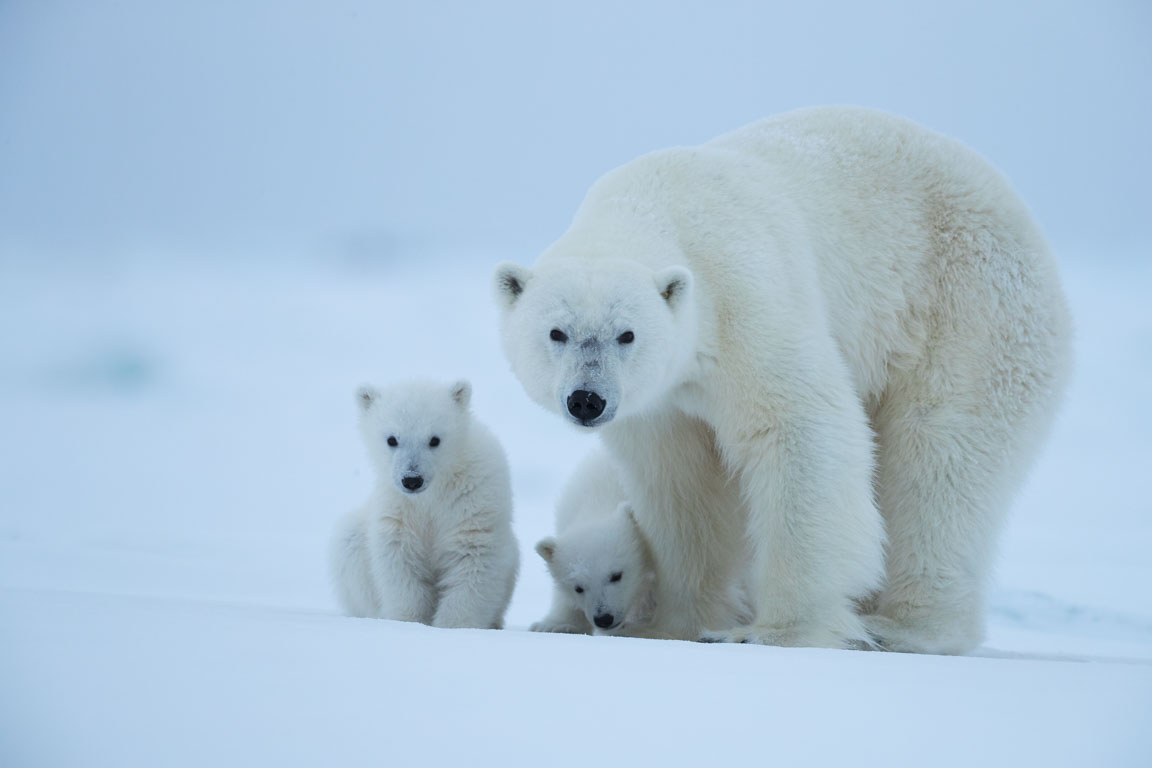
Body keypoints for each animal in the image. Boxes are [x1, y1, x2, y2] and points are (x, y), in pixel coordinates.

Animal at [329, 379, 518, 630]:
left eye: (434, 439)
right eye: (392, 439)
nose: (412, 479)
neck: (432, 493)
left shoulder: (473, 499)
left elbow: (472, 557)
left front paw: (455, 625)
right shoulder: (398, 508)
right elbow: (400, 562)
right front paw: (409, 621)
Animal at [493, 105, 1069, 654]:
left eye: (626, 334)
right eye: (557, 332)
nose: (586, 400)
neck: (651, 204)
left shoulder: (743, 298)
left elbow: (800, 427)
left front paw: (775, 631)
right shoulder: (660, 400)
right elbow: (682, 484)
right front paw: (670, 627)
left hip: (967, 310)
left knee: (938, 456)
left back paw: (902, 627)